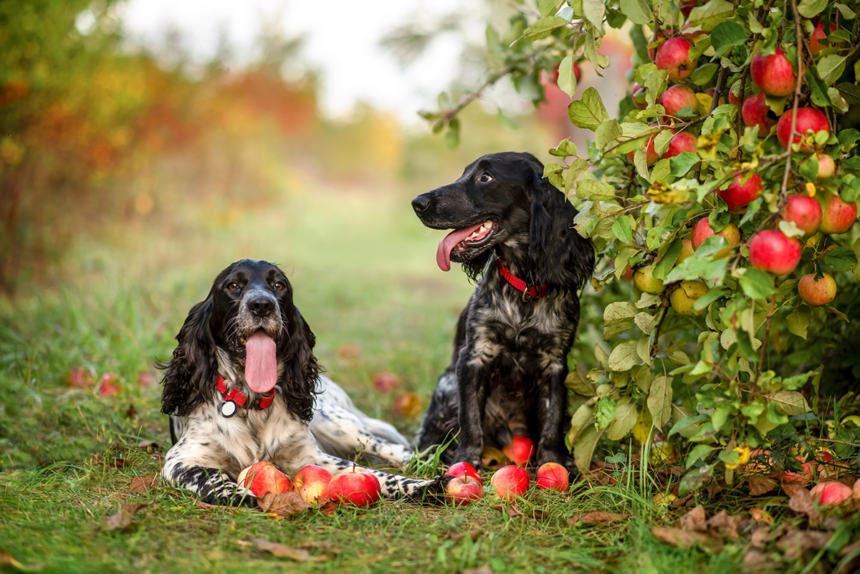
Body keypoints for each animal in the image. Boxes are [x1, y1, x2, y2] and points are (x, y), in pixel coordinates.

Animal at [159, 258, 450, 506]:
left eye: (279, 286)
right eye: (233, 285)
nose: (262, 305)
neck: (252, 402)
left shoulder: (312, 457)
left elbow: (379, 475)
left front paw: (421, 486)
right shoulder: (180, 459)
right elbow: (210, 477)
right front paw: (236, 494)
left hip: (340, 425)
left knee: (389, 446)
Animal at [410, 153, 592, 472]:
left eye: (486, 177)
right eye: (464, 173)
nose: (417, 202)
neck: (523, 287)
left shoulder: (554, 364)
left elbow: (551, 424)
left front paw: (551, 464)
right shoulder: (474, 357)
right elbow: (470, 421)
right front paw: (466, 462)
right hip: (447, 387)